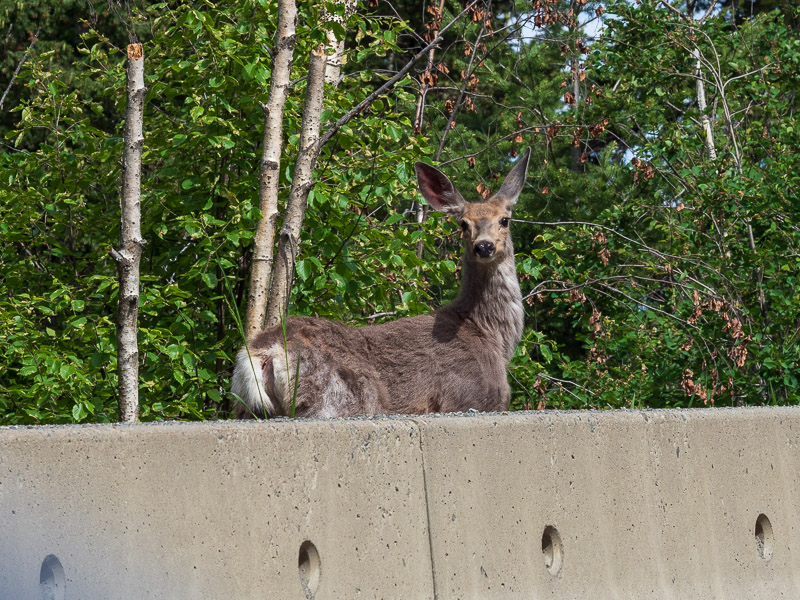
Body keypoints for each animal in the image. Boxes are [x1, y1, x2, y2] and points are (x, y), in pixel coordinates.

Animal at [231, 148, 532, 420]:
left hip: (247, 409)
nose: (484, 246)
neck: (491, 334)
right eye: (463, 224)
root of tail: (261, 352)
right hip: (335, 400)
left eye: (504, 219)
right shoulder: (468, 399)